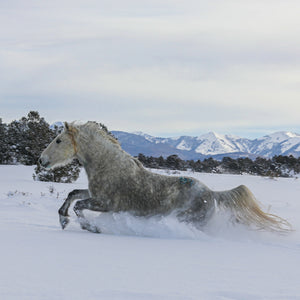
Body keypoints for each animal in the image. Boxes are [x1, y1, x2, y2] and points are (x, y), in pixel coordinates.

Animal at [39, 122, 290, 234]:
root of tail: (211, 194)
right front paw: (62, 219)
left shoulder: (106, 204)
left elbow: (78, 206)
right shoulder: (94, 195)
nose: (42, 160)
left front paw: (90, 227)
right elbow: (72, 195)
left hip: (190, 221)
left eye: (59, 140)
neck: (109, 166)